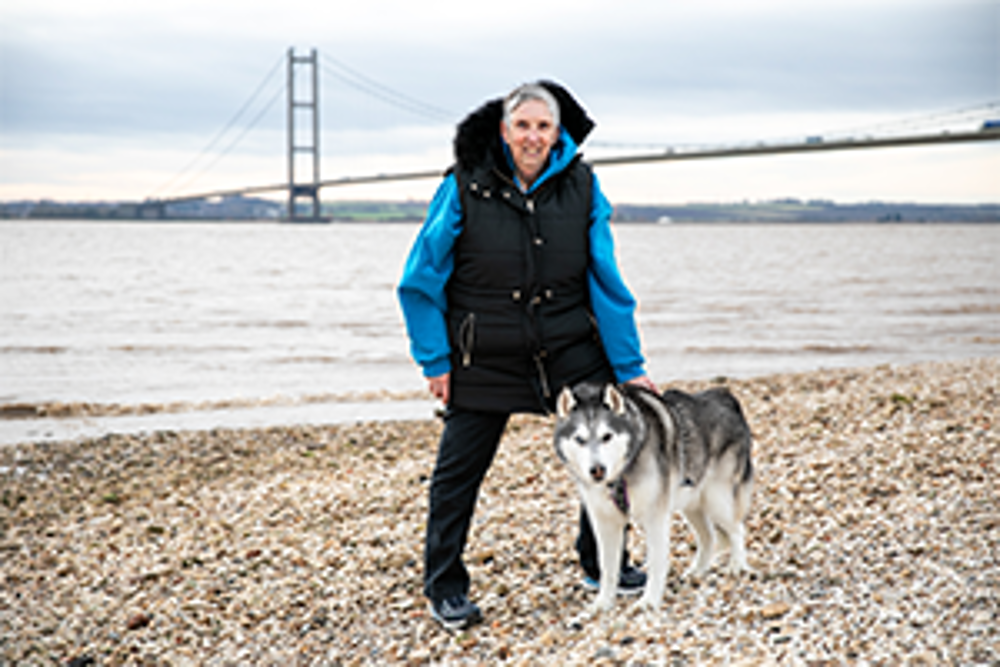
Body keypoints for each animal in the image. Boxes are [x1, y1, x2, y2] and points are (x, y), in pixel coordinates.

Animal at [552, 384, 752, 612]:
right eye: (580, 440)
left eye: (607, 436)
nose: (597, 470)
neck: (621, 474)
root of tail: (724, 395)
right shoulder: (605, 523)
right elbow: (608, 567)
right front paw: (603, 602)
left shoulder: (655, 517)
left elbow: (656, 562)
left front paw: (649, 601)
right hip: (692, 504)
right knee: (708, 536)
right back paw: (698, 570)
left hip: (717, 500)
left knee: (737, 529)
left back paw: (737, 566)